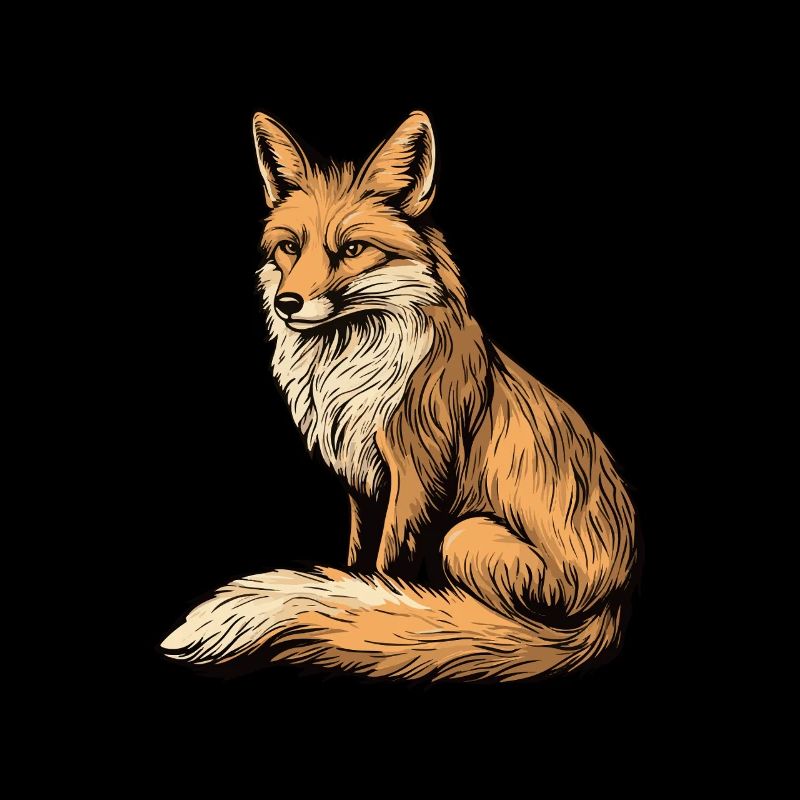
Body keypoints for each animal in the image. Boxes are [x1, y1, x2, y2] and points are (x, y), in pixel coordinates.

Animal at [161, 111, 638, 682]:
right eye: (290, 247)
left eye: (351, 249)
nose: (287, 303)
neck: (349, 372)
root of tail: (615, 601)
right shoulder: (362, 481)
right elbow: (359, 563)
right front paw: (360, 598)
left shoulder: (417, 472)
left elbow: (389, 568)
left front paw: (388, 611)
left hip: (465, 534)